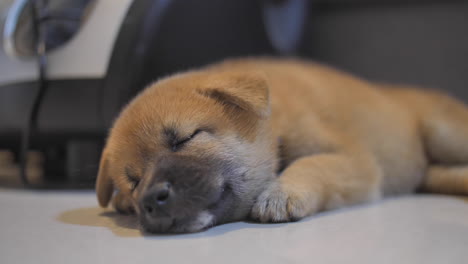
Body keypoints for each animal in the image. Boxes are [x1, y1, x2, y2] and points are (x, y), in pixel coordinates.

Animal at [96, 57, 468, 233]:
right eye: (133, 181)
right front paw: (122, 204)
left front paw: (282, 192)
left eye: (187, 138)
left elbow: (312, 164)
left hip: (445, 134)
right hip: (437, 172)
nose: (149, 201)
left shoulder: (355, 159)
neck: (275, 126)